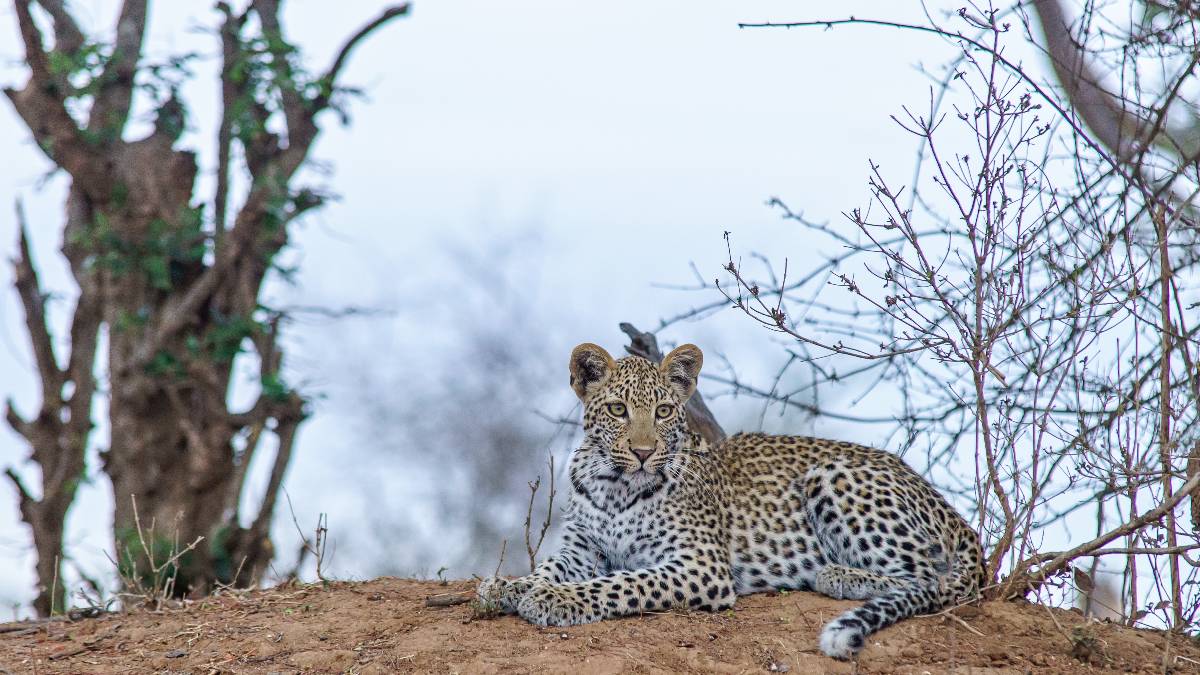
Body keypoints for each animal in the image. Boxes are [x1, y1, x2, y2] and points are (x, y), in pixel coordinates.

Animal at [477, 341, 985, 659]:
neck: (615, 485)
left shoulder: (699, 565)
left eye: (664, 411)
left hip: (834, 476)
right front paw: (508, 586)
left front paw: (554, 598)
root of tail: (953, 513)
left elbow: (618, 583)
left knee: (936, 580)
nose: (643, 452)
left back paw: (839, 575)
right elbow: (547, 567)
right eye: (618, 410)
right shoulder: (582, 546)